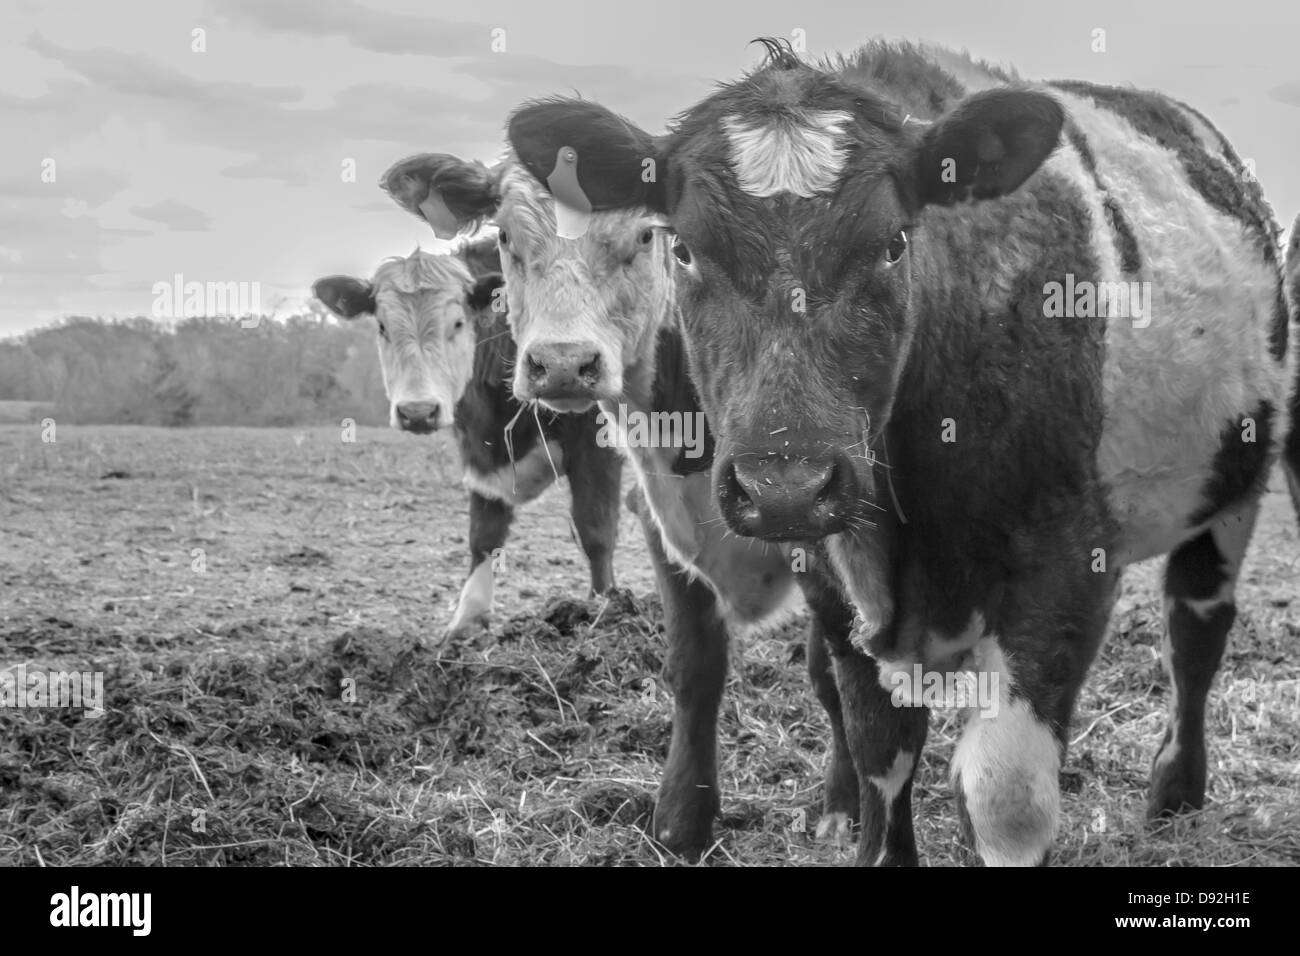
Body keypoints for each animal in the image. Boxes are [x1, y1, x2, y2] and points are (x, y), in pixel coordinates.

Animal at [312, 239, 621, 642]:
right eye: (382, 326)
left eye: (458, 323)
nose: (417, 411)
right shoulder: (480, 452)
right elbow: (483, 535)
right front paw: (468, 617)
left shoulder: (596, 442)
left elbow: (595, 529)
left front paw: (602, 609)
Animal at [379, 151, 883, 858]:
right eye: (505, 235)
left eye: (647, 235)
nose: (563, 365)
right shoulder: (657, 519)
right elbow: (692, 666)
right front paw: (680, 822)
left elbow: (846, 672)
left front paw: (847, 807)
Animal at [499, 39, 1300, 868]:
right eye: (682, 247)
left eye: (893, 244)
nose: (785, 487)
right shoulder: (832, 582)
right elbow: (880, 746)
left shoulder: (1068, 567)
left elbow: (1005, 793)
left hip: (1236, 487)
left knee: (1195, 632)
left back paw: (1176, 791)